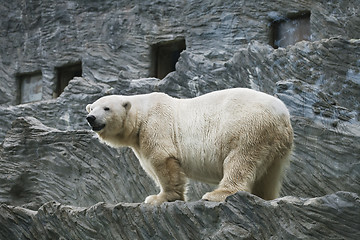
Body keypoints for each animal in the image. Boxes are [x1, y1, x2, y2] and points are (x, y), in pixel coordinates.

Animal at [86, 88, 294, 204]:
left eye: (106, 108)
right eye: (91, 107)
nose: (91, 118)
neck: (141, 115)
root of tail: (282, 113)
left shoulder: (155, 125)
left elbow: (162, 159)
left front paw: (159, 198)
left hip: (247, 126)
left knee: (239, 160)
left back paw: (217, 194)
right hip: (275, 142)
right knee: (269, 174)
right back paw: (265, 197)